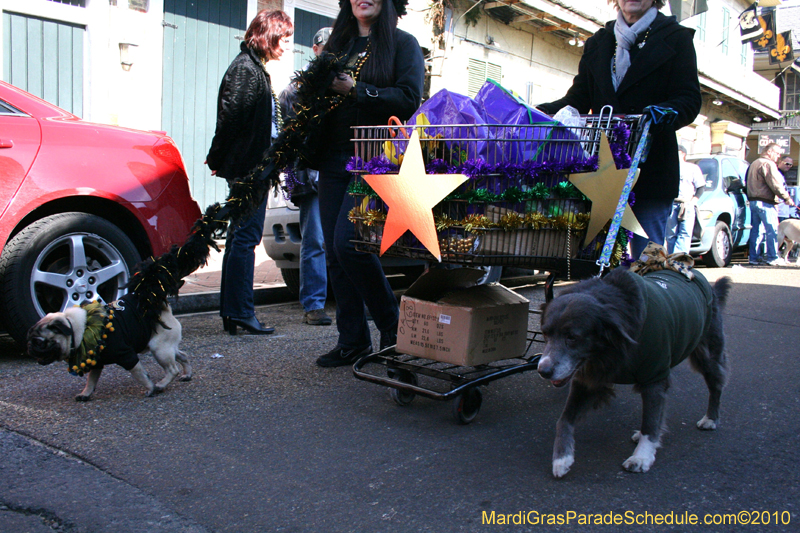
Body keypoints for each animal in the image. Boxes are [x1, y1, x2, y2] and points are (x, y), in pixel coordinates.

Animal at [27, 294, 192, 402]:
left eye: (39, 342)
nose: (29, 347)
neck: (77, 328)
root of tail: (164, 310)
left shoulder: (126, 355)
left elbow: (140, 374)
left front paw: (150, 388)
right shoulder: (96, 361)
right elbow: (91, 380)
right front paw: (86, 394)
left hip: (160, 349)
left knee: (172, 370)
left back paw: (161, 385)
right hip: (167, 348)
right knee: (183, 356)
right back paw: (187, 375)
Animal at [536, 268, 732, 476]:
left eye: (572, 337)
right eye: (545, 334)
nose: (543, 370)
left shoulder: (655, 377)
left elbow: (650, 423)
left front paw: (642, 456)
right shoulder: (588, 380)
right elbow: (563, 419)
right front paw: (561, 457)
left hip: (707, 355)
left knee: (716, 385)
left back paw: (711, 418)